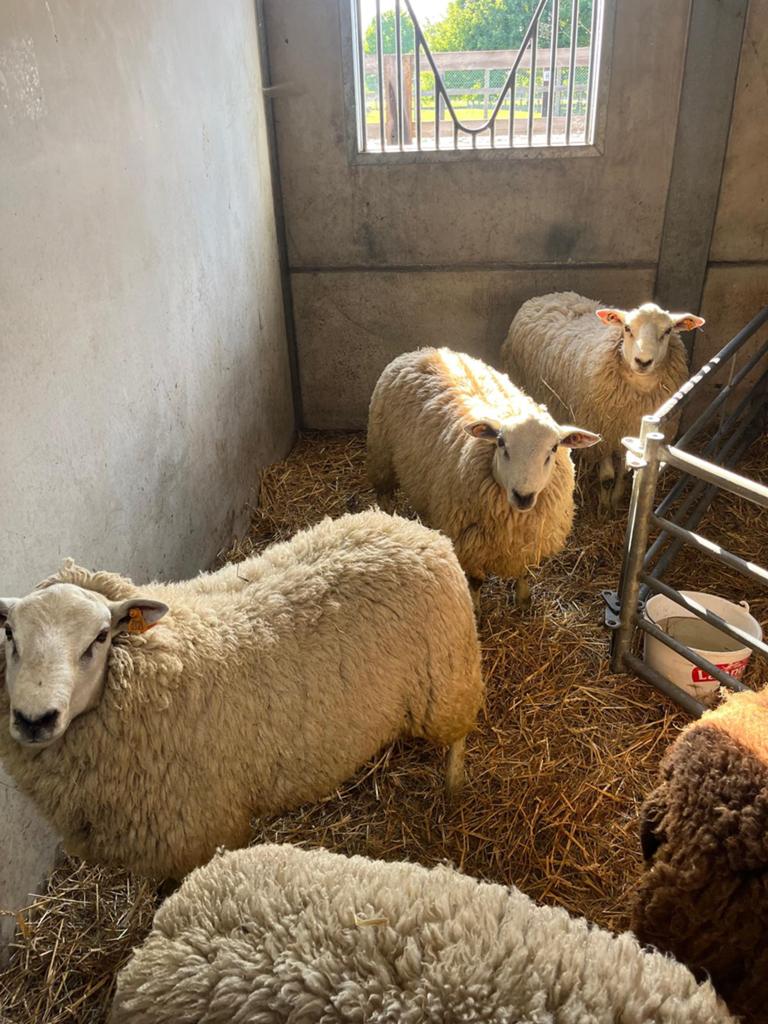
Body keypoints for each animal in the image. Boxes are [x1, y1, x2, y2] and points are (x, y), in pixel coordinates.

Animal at [0, 509, 483, 880]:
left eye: (100, 637)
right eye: (9, 634)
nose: (34, 719)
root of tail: (413, 528)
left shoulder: (199, 834)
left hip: (448, 681)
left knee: (459, 736)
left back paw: (455, 786)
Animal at [367, 347, 599, 609]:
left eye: (554, 448)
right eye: (501, 443)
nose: (523, 496)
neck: (514, 520)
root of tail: (423, 351)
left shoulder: (528, 543)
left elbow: (524, 572)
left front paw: (523, 600)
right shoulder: (468, 543)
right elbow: (476, 581)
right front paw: (475, 608)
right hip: (381, 455)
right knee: (384, 494)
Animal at [501, 292, 703, 511]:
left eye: (667, 331)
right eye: (627, 328)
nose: (643, 361)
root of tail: (547, 296)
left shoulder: (630, 434)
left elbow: (623, 472)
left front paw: (616, 499)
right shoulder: (601, 432)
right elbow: (607, 477)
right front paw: (604, 505)